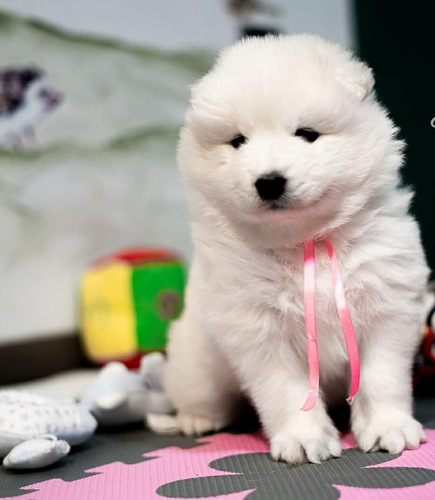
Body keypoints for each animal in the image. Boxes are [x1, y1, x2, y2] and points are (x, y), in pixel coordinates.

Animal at [163, 36, 430, 464]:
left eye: (307, 134)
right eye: (238, 141)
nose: (269, 182)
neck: (308, 240)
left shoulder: (388, 307)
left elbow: (382, 377)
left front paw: (389, 428)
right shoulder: (258, 329)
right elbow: (286, 391)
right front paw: (305, 439)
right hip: (198, 366)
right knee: (198, 395)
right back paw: (195, 420)